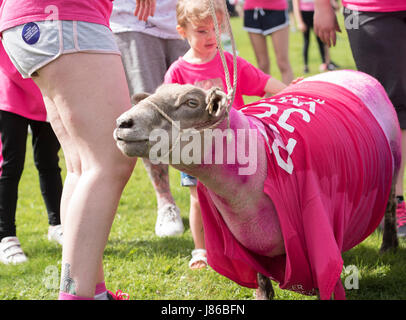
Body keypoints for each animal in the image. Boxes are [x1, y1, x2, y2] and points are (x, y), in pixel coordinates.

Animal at [113, 70, 400, 300]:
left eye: (191, 102)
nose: (122, 123)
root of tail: (353, 72)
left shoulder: (317, 228)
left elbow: (324, 276)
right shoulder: (245, 239)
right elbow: (261, 278)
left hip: (395, 162)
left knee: (388, 207)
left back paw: (389, 246)